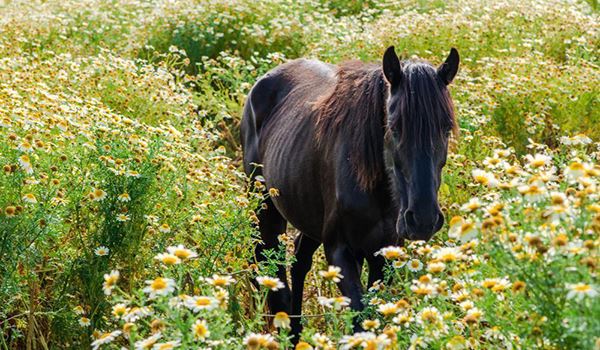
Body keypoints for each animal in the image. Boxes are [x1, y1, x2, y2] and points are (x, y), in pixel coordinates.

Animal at [239, 46, 460, 340]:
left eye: (446, 128)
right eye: (394, 127)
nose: (423, 220)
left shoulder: (384, 254)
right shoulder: (339, 250)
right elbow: (360, 319)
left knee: (299, 261)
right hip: (266, 209)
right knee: (271, 269)